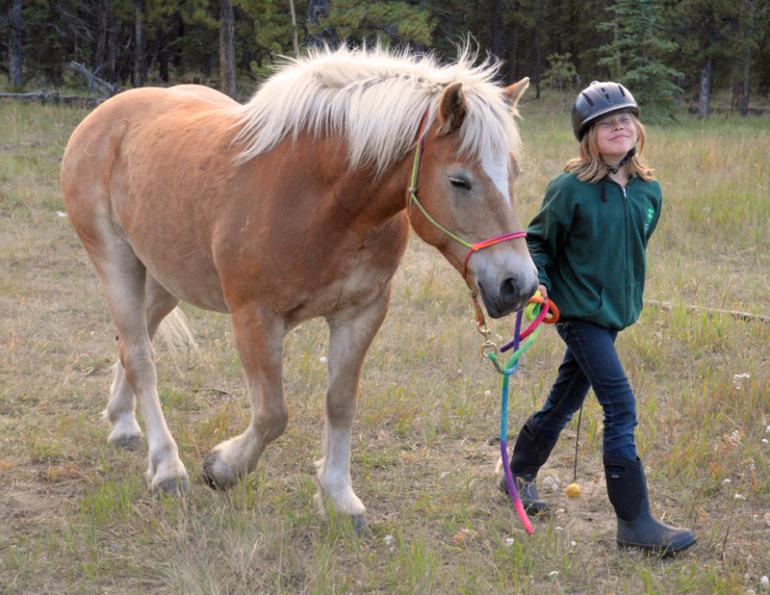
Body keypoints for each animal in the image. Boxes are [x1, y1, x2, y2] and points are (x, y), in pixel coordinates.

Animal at [60, 46, 538, 527]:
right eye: (460, 180)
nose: (518, 284)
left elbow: (340, 403)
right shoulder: (255, 319)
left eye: (514, 173)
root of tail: (104, 115)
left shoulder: (360, 314)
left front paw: (339, 496)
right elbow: (272, 414)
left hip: (164, 278)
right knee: (140, 356)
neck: (318, 199)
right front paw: (223, 467)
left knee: (133, 342)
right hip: (116, 261)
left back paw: (123, 423)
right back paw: (166, 466)